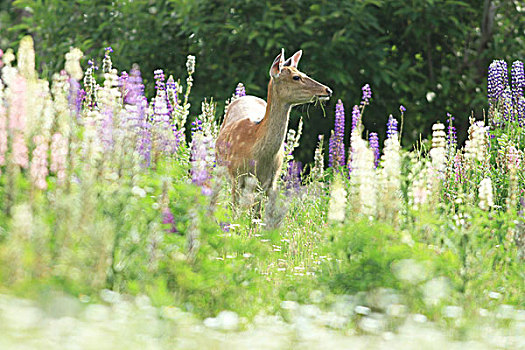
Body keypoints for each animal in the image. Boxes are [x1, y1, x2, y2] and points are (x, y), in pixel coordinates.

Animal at [216, 48, 332, 213]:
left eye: (303, 73)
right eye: (296, 77)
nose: (327, 90)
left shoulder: (271, 181)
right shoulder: (235, 176)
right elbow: (234, 211)